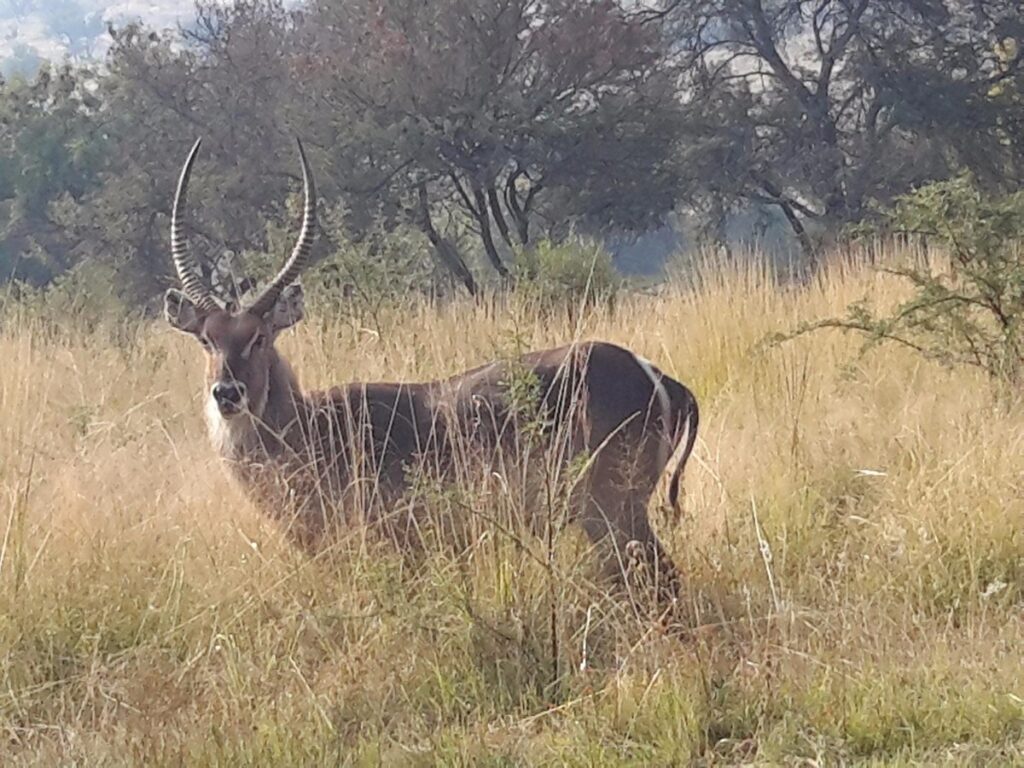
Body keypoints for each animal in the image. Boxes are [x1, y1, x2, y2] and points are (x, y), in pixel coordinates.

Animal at [163, 137, 700, 593]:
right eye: (207, 340)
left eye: (258, 337)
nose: (227, 393)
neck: (308, 428)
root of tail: (658, 376)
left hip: (612, 510)